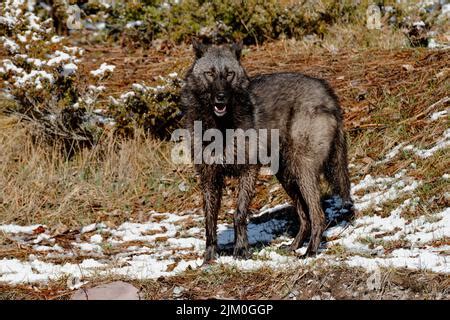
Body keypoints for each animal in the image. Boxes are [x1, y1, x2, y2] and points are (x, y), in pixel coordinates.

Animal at [181, 41, 354, 264]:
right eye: (210, 73)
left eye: (229, 74)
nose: (221, 97)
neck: (219, 126)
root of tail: (328, 92)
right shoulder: (209, 178)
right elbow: (209, 222)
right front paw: (208, 260)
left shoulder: (248, 171)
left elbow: (239, 214)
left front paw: (241, 251)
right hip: (287, 177)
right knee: (304, 216)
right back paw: (293, 247)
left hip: (302, 172)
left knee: (318, 215)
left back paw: (310, 252)